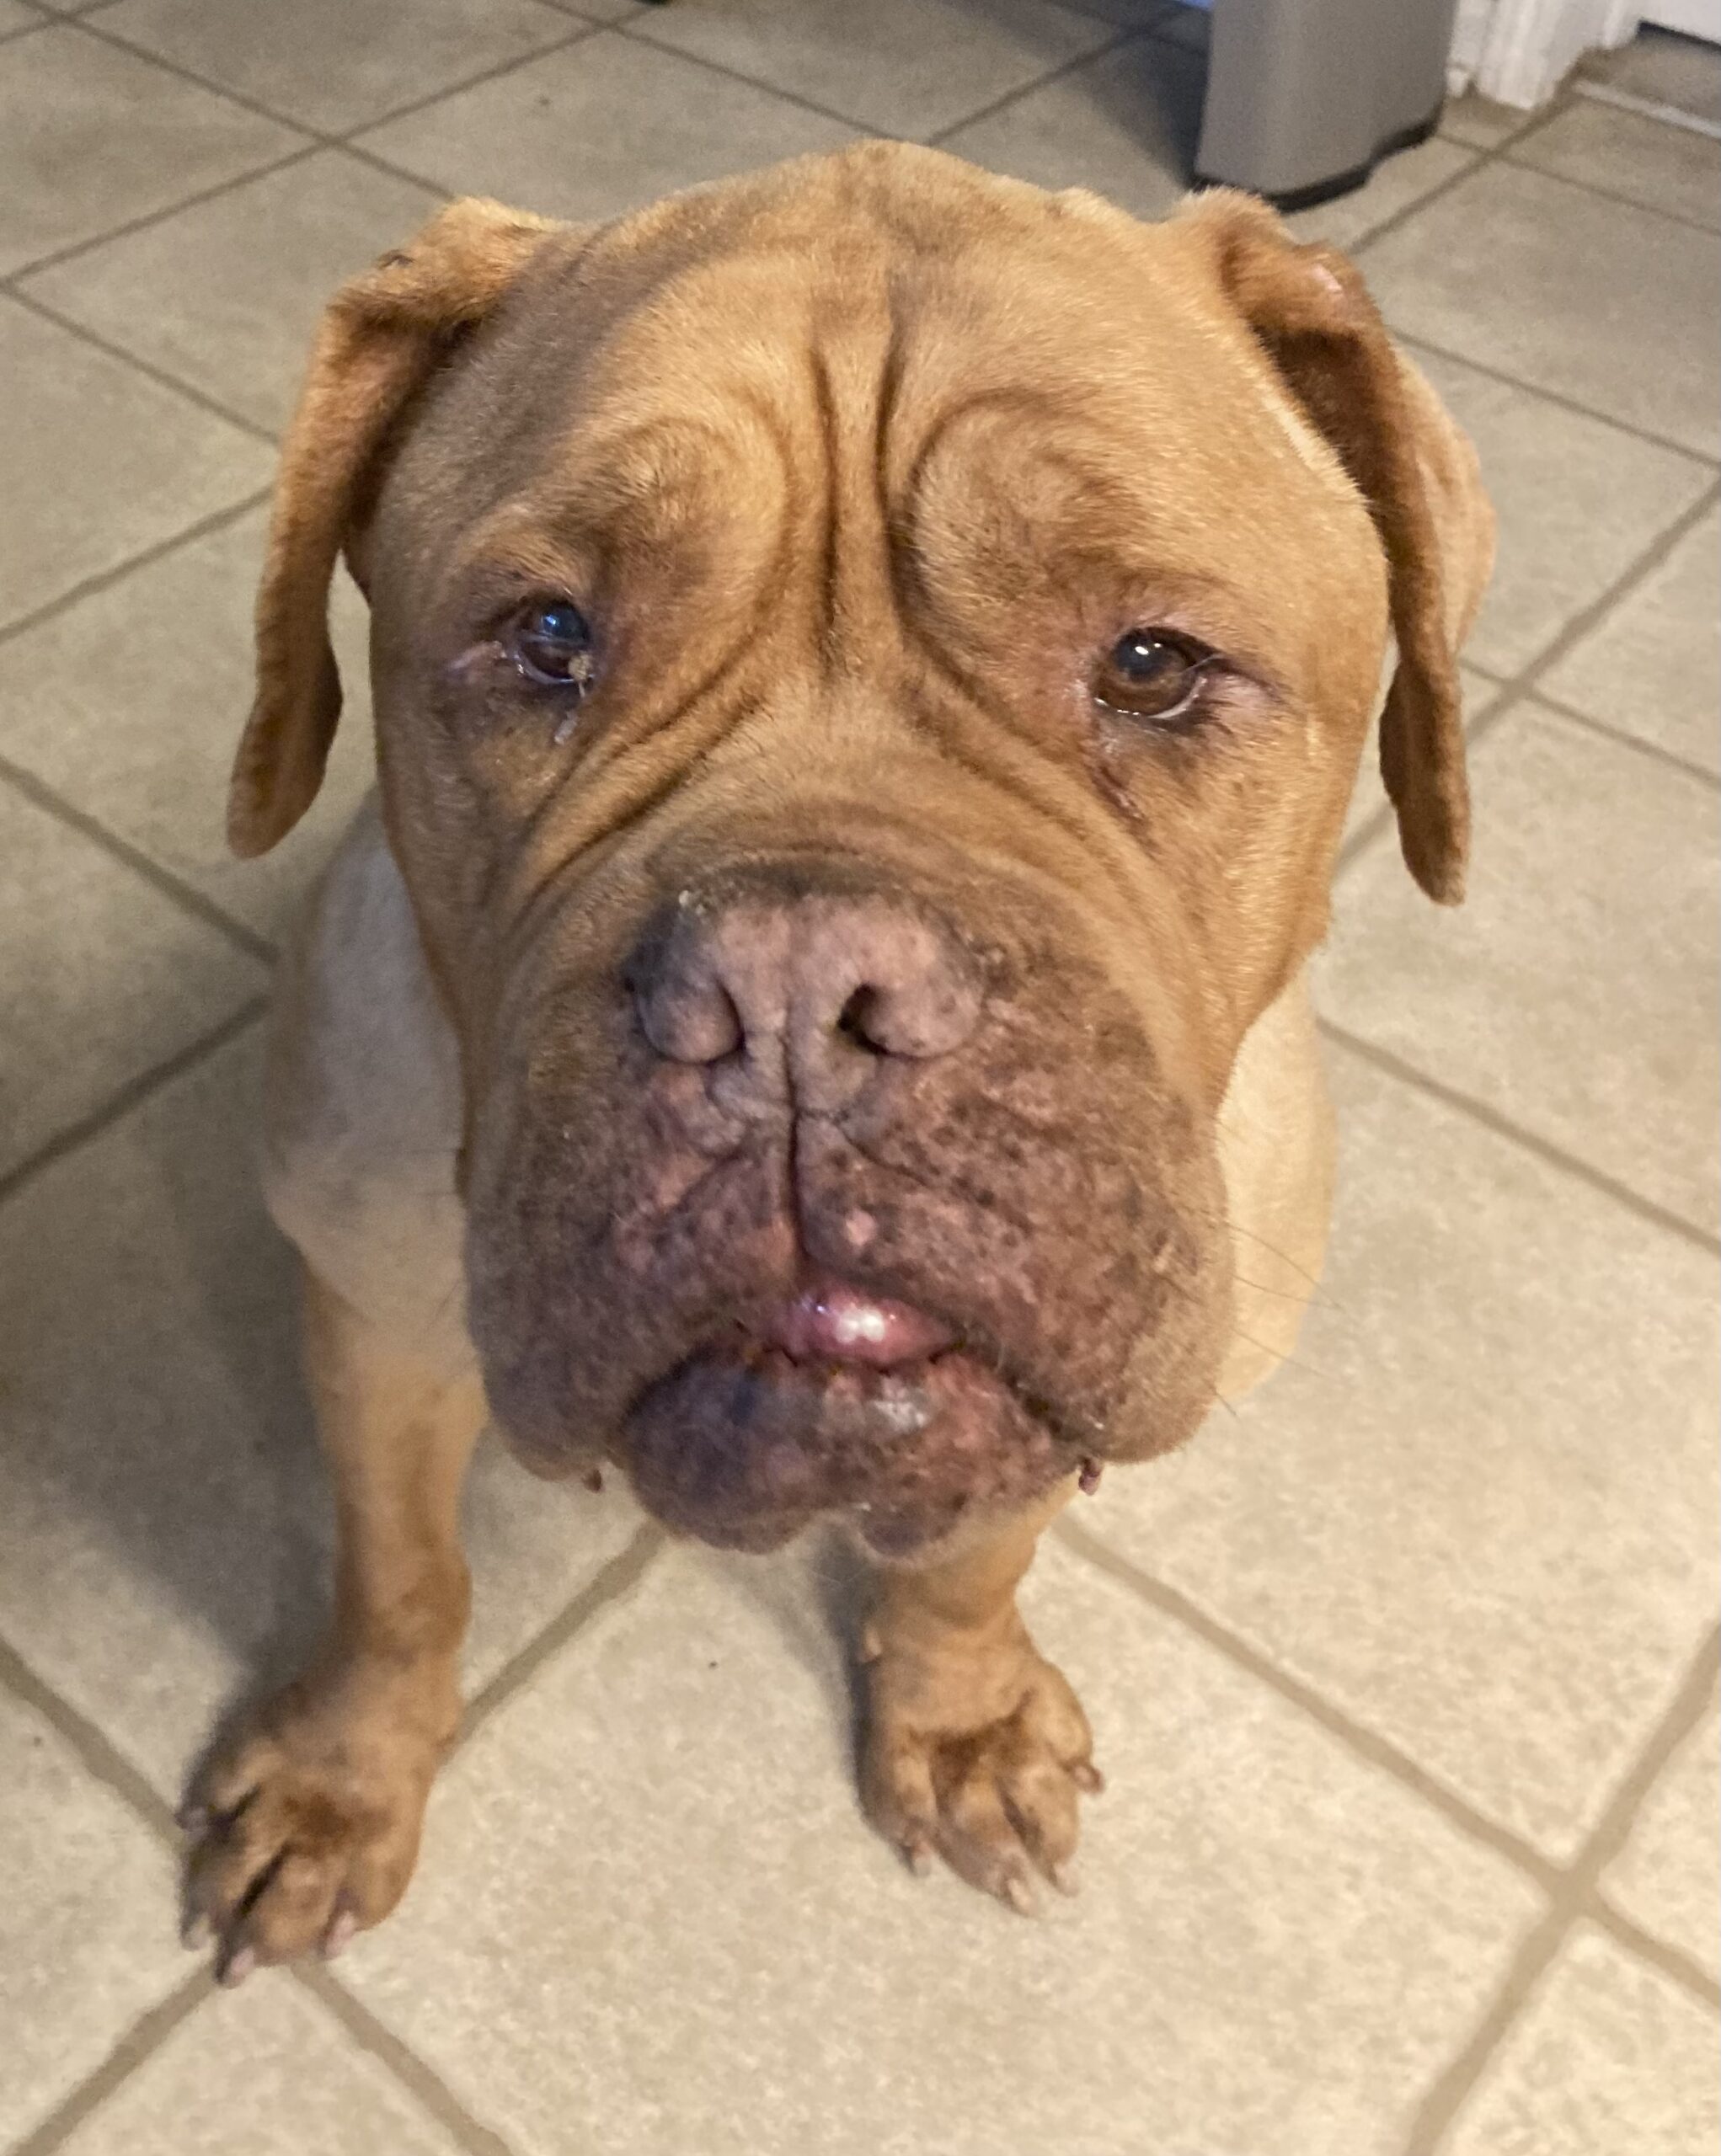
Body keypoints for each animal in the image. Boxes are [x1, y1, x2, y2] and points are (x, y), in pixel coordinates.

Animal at [183, 143, 1492, 1979]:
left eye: (1150, 664)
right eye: (547, 636)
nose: (795, 996)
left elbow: (972, 1562)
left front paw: (957, 1718)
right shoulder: (378, 1326)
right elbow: (398, 1579)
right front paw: (337, 1778)